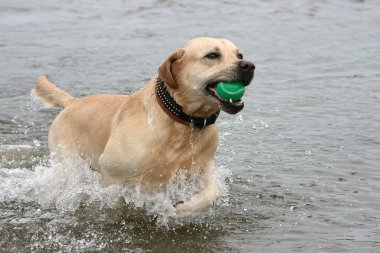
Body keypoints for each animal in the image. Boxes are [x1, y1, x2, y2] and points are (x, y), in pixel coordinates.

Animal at [33, 37, 255, 217]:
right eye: (212, 55)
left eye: (239, 55)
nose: (249, 65)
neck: (183, 123)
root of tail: (72, 102)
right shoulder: (112, 174)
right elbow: (115, 202)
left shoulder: (203, 167)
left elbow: (212, 191)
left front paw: (186, 209)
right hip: (66, 161)